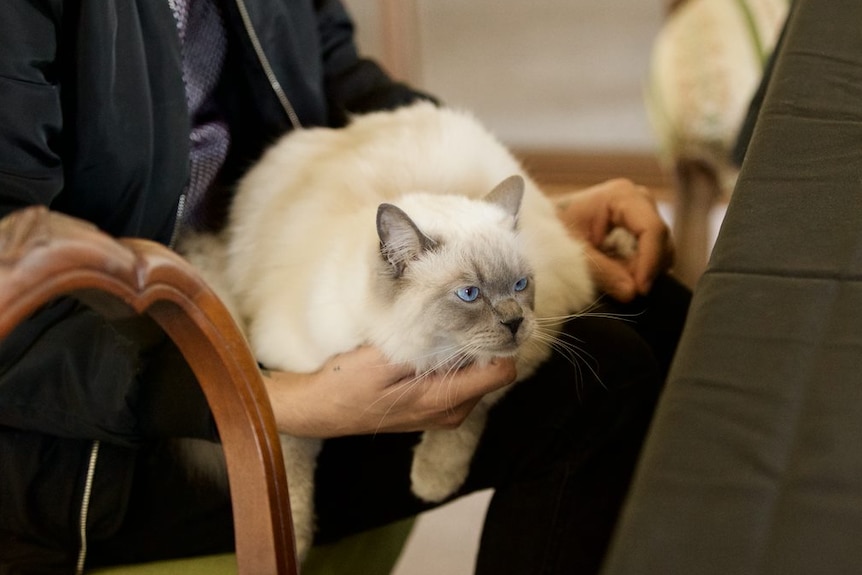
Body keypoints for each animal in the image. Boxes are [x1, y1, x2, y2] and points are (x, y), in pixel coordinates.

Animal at [181, 101, 600, 560]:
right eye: (469, 294)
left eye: (521, 285)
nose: (515, 322)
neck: (423, 352)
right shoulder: (287, 372)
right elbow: (287, 473)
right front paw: (292, 542)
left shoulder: (518, 361)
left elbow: (468, 417)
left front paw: (433, 481)